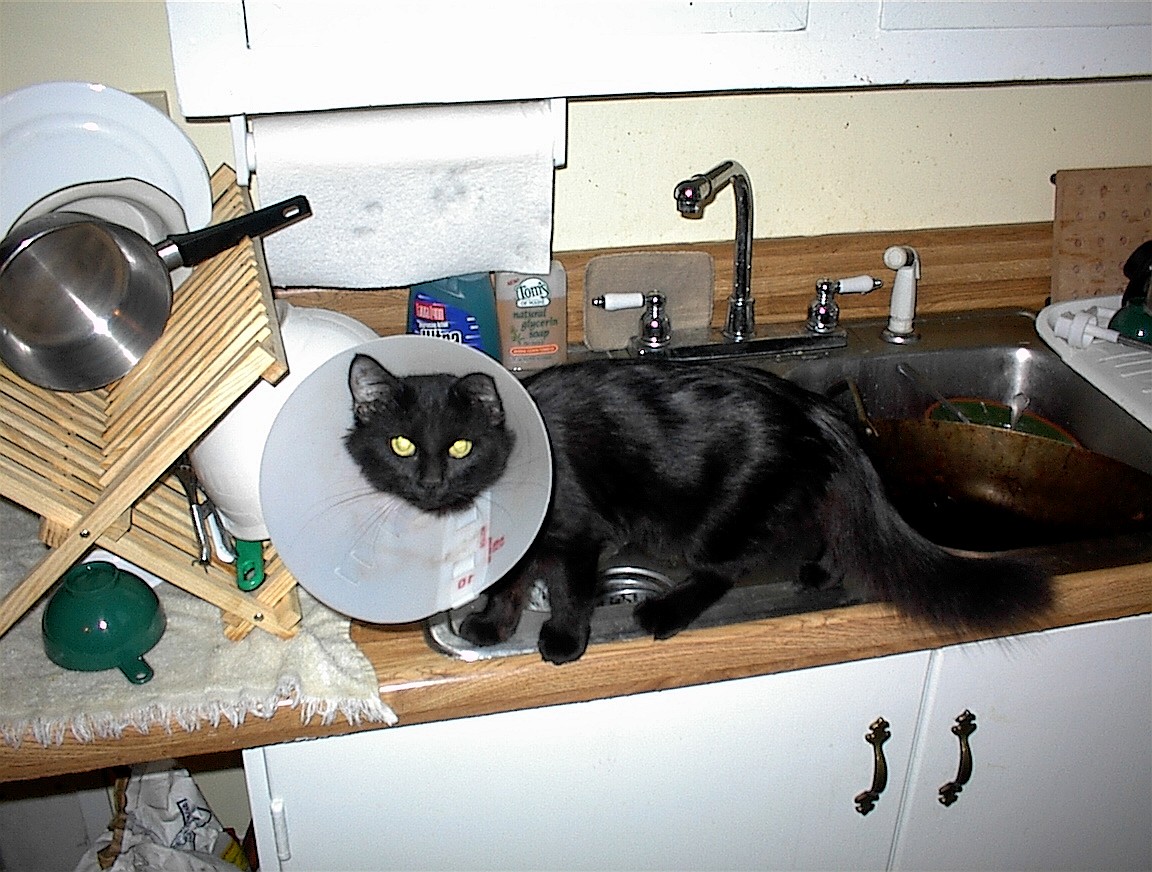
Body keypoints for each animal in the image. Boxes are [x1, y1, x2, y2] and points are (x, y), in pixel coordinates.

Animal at [345, 353, 1053, 665]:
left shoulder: (578, 532)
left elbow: (569, 589)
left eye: (460, 446)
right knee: (822, 522)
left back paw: (663, 611)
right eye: (402, 445)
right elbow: (511, 583)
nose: (432, 480)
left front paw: (564, 642)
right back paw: (822, 571)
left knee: (728, 568)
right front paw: (492, 625)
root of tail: (810, 404)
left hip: (712, 517)